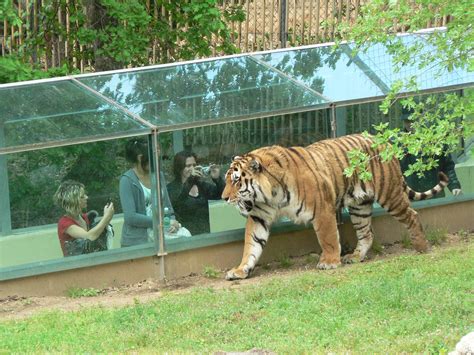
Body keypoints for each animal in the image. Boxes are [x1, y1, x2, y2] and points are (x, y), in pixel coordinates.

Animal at [222, 134, 448, 280]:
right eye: (226, 180)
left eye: (236, 181)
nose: (223, 198)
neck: (271, 195)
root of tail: (381, 141)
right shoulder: (259, 216)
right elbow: (251, 246)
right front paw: (240, 270)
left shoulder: (322, 210)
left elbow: (328, 238)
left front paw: (329, 262)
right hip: (359, 206)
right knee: (367, 233)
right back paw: (355, 257)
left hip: (390, 194)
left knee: (412, 215)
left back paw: (421, 246)